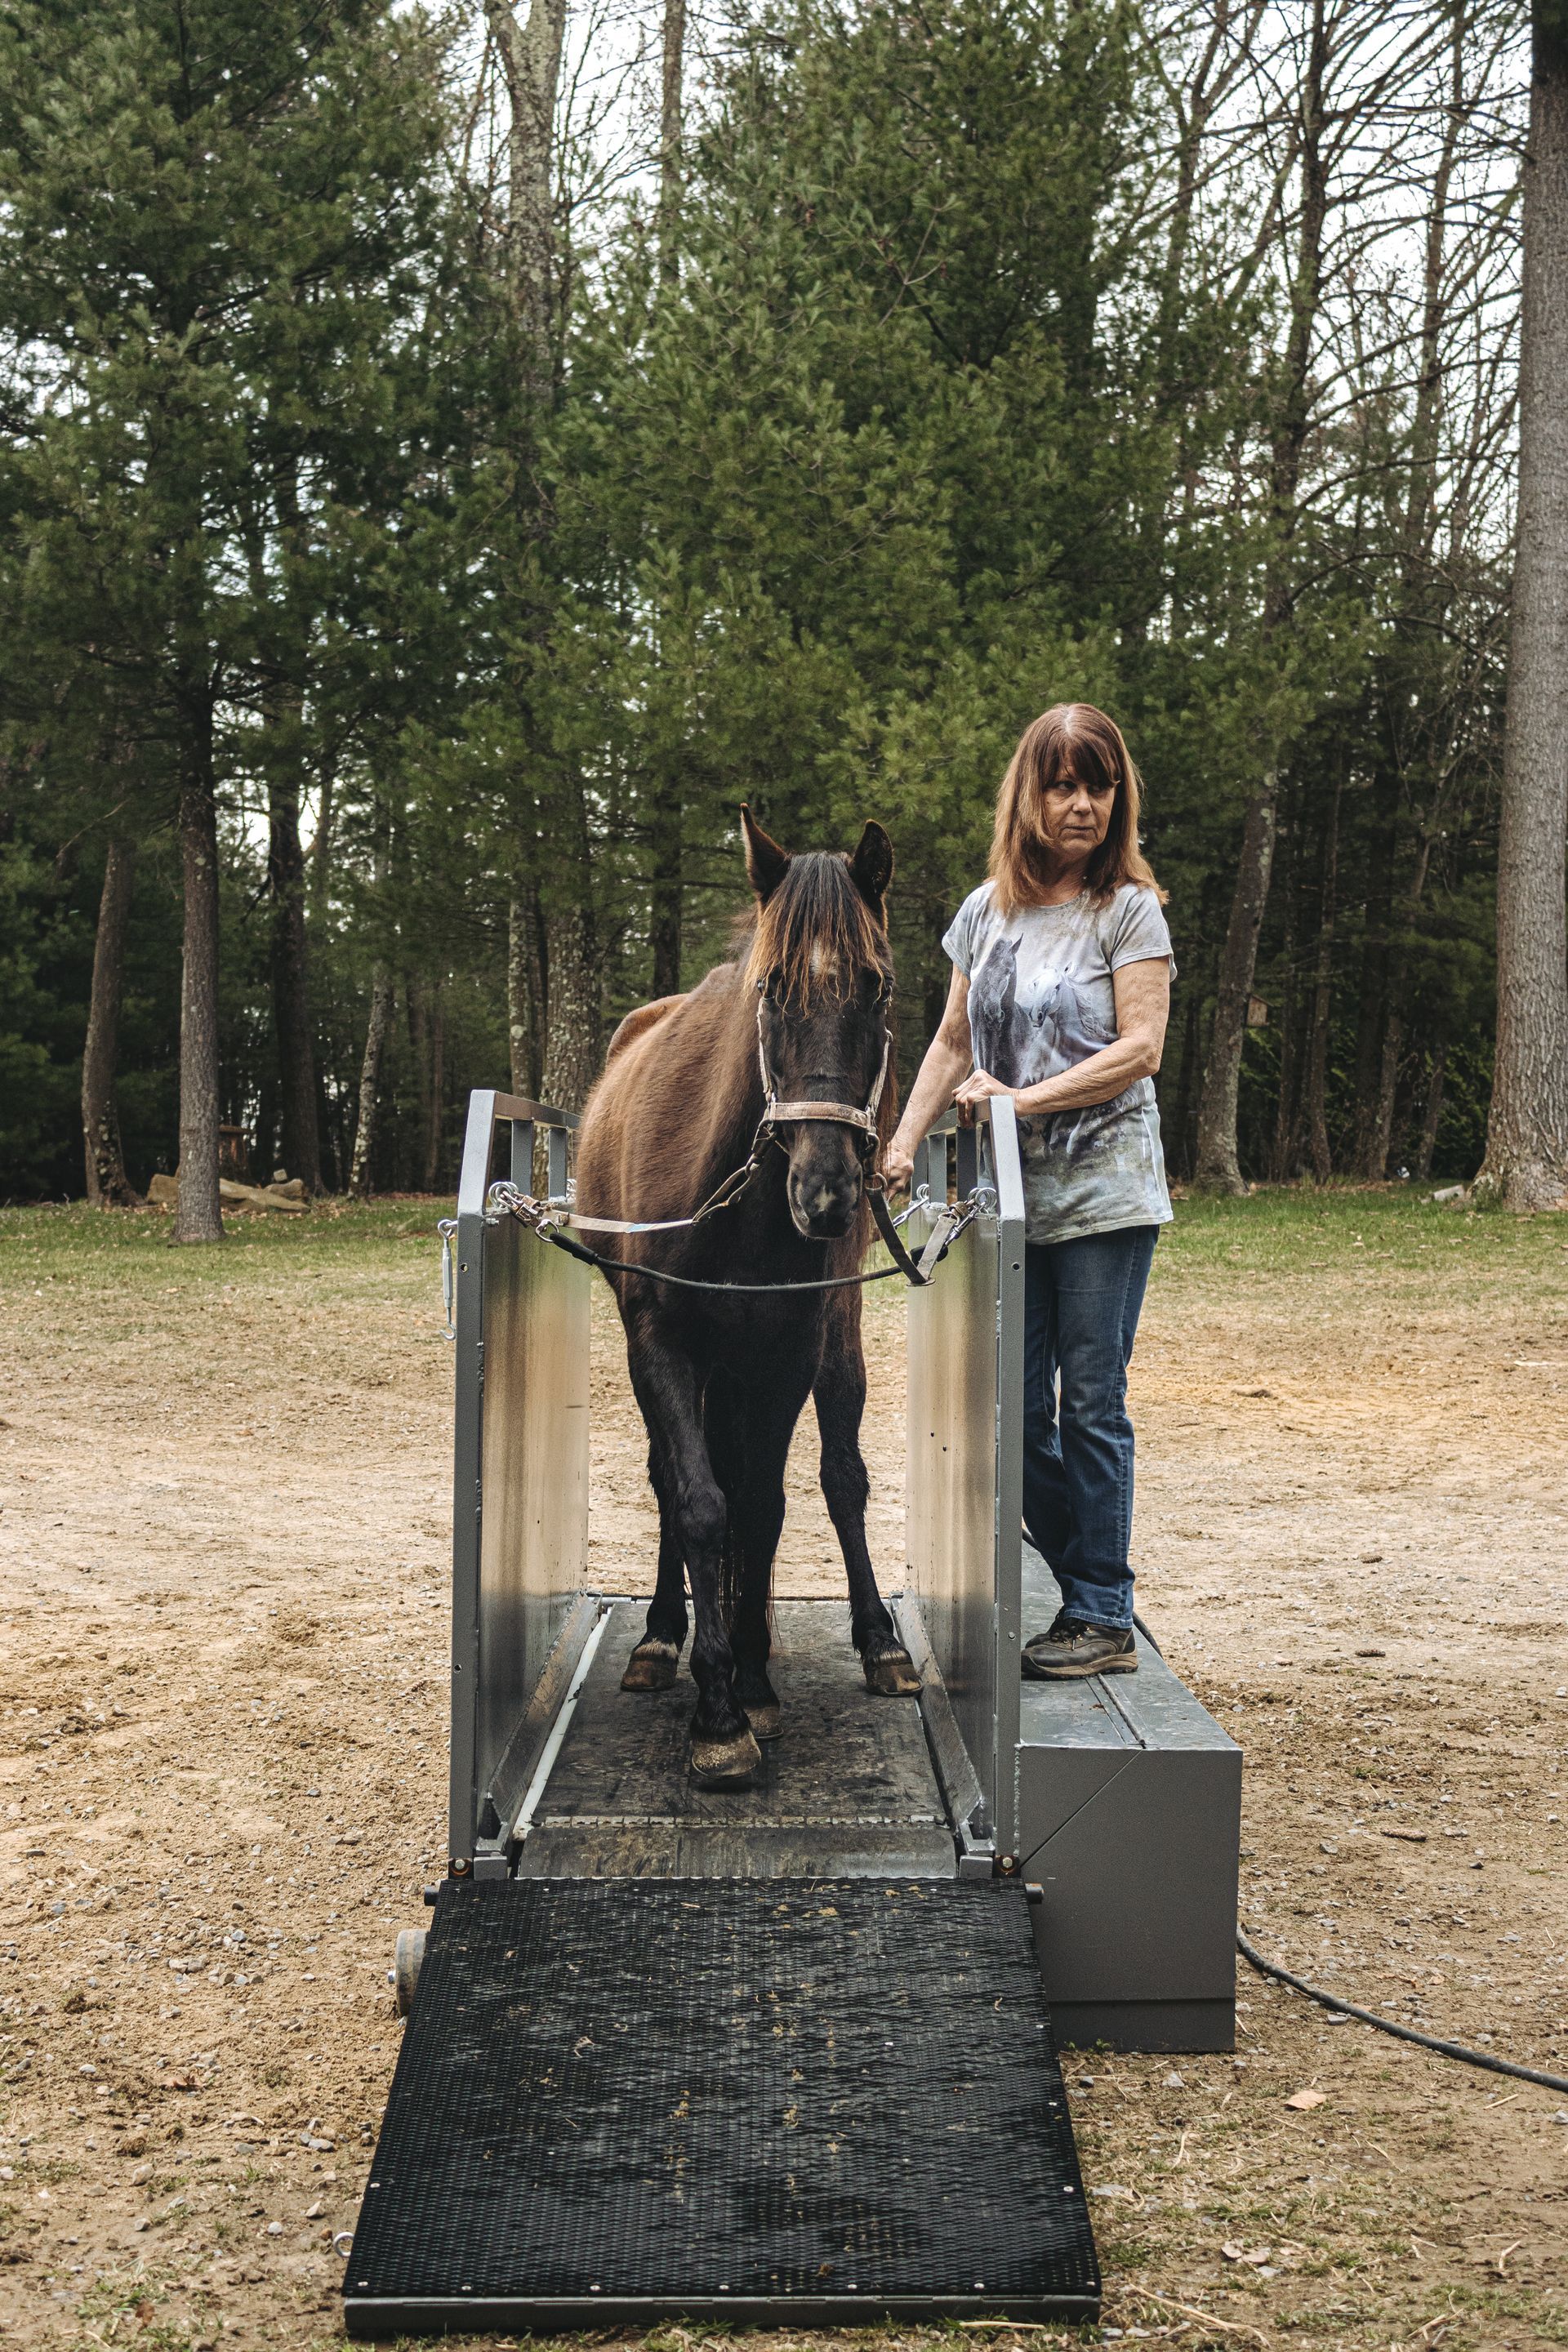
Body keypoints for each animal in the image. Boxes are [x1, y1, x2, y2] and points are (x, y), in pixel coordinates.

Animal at [573, 808, 921, 1778]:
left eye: (878, 988)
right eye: (770, 988)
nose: (827, 1193)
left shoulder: (783, 1356)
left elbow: (764, 1504)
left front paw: (753, 1681)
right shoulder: (661, 1344)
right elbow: (696, 1499)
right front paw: (717, 1706)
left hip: (831, 1343)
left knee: (840, 1477)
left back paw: (876, 1640)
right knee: (674, 1480)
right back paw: (664, 1636)